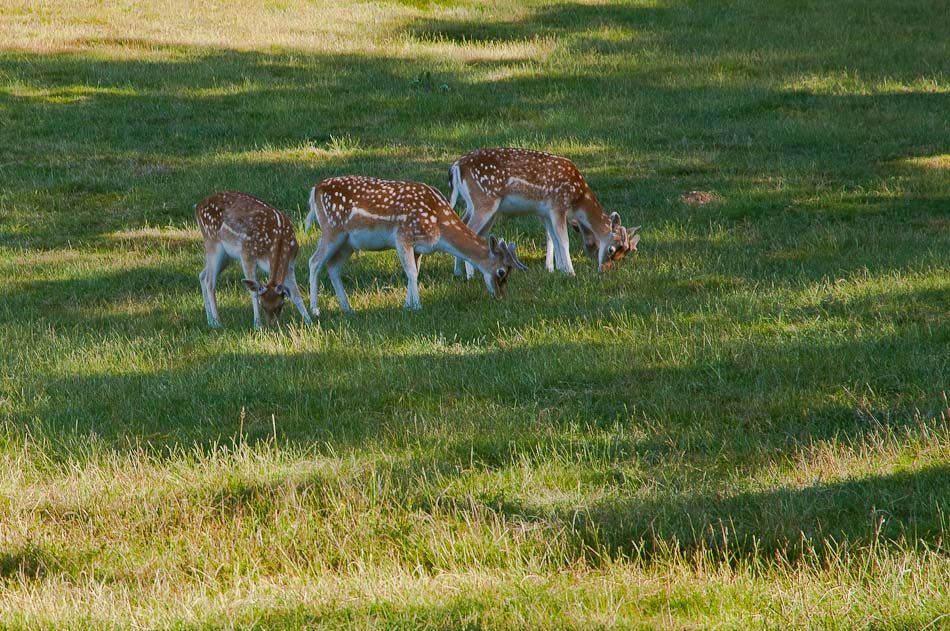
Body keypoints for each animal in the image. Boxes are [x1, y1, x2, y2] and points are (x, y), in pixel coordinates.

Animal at [193, 191, 312, 330]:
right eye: (262, 305)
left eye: (281, 305)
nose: (271, 325)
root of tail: (198, 206)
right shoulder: (247, 254)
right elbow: (253, 291)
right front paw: (257, 325)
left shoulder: (290, 264)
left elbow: (296, 294)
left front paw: (310, 321)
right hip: (212, 242)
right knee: (209, 282)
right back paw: (218, 322)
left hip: (226, 256)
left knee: (202, 275)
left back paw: (210, 321)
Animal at [304, 175, 528, 314]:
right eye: (501, 271)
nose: (501, 297)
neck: (438, 226)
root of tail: (315, 189)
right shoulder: (402, 236)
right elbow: (411, 271)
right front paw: (418, 306)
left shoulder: (419, 247)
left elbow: (415, 271)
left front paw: (407, 305)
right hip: (332, 230)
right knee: (314, 261)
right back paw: (315, 310)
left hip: (348, 242)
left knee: (332, 266)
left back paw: (347, 308)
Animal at [450, 149, 644, 278]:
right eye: (611, 248)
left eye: (623, 255)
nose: (604, 270)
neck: (578, 199)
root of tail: (456, 166)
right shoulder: (558, 205)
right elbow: (563, 240)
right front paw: (571, 272)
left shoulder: (546, 211)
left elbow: (554, 239)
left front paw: (559, 270)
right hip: (485, 201)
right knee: (468, 230)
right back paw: (470, 275)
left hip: (478, 206)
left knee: (463, 225)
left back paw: (459, 272)